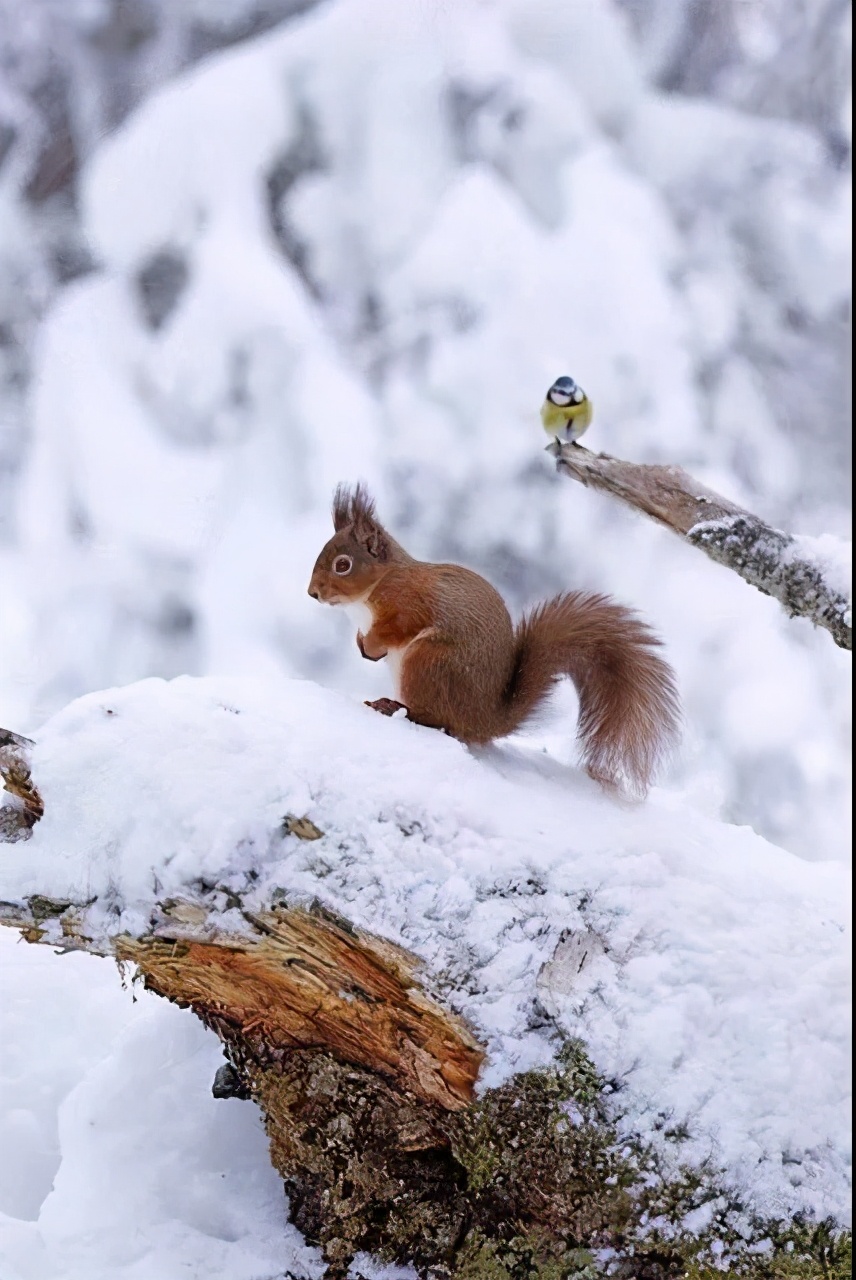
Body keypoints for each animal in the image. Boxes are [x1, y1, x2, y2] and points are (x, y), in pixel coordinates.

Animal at [308, 483, 680, 793]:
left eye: (343, 565)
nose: (313, 593)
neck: (378, 585)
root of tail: (485, 721)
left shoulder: (410, 605)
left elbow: (396, 628)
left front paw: (371, 645)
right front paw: (362, 644)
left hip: (429, 661)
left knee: (437, 722)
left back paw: (393, 707)